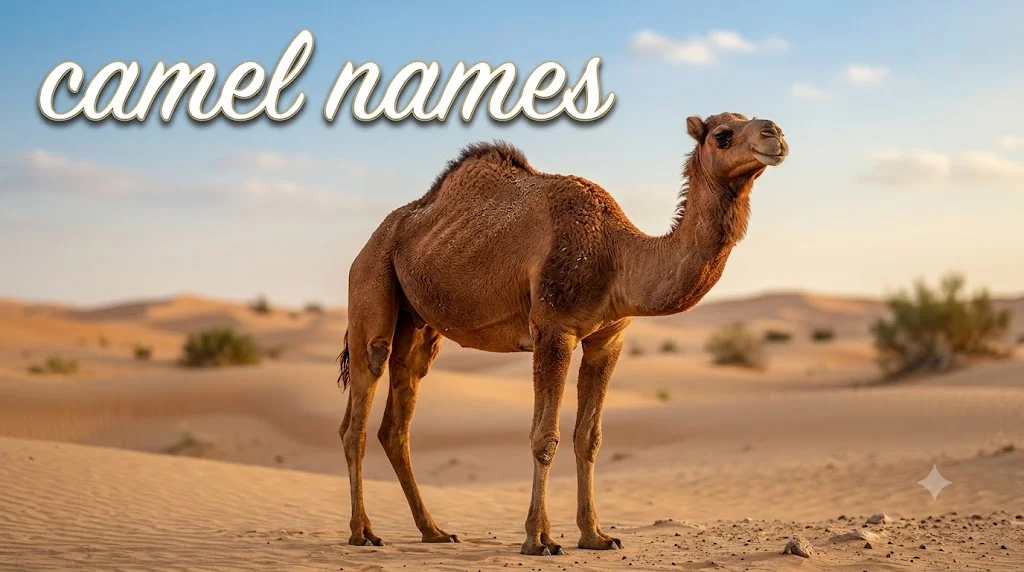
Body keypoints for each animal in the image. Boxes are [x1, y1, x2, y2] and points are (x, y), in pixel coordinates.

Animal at [337, 112, 788, 555]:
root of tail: (370, 242)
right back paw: (363, 532)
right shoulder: (553, 329)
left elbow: (588, 437)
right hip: (371, 282)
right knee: (359, 409)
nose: (776, 134)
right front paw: (539, 539)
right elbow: (545, 437)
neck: (617, 254)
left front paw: (596, 536)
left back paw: (433, 531)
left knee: (397, 421)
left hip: (419, 323)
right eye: (723, 135)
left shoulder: (606, 340)